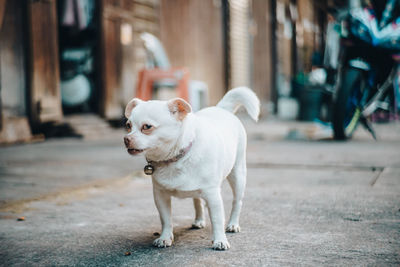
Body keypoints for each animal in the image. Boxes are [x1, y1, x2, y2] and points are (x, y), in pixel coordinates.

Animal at [124, 87, 260, 251]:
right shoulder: (160, 196)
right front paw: (165, 238)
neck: (175, 158)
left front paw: (220, 240)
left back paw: (233, 224)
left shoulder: (213, 195)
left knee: (237, 201)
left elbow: (217, 220)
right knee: (197, 201)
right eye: (128, 125)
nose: (126, 139)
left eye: (147, 127)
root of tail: (221, 108)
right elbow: (166, 219)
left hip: (237, 175)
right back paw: (199, 220)